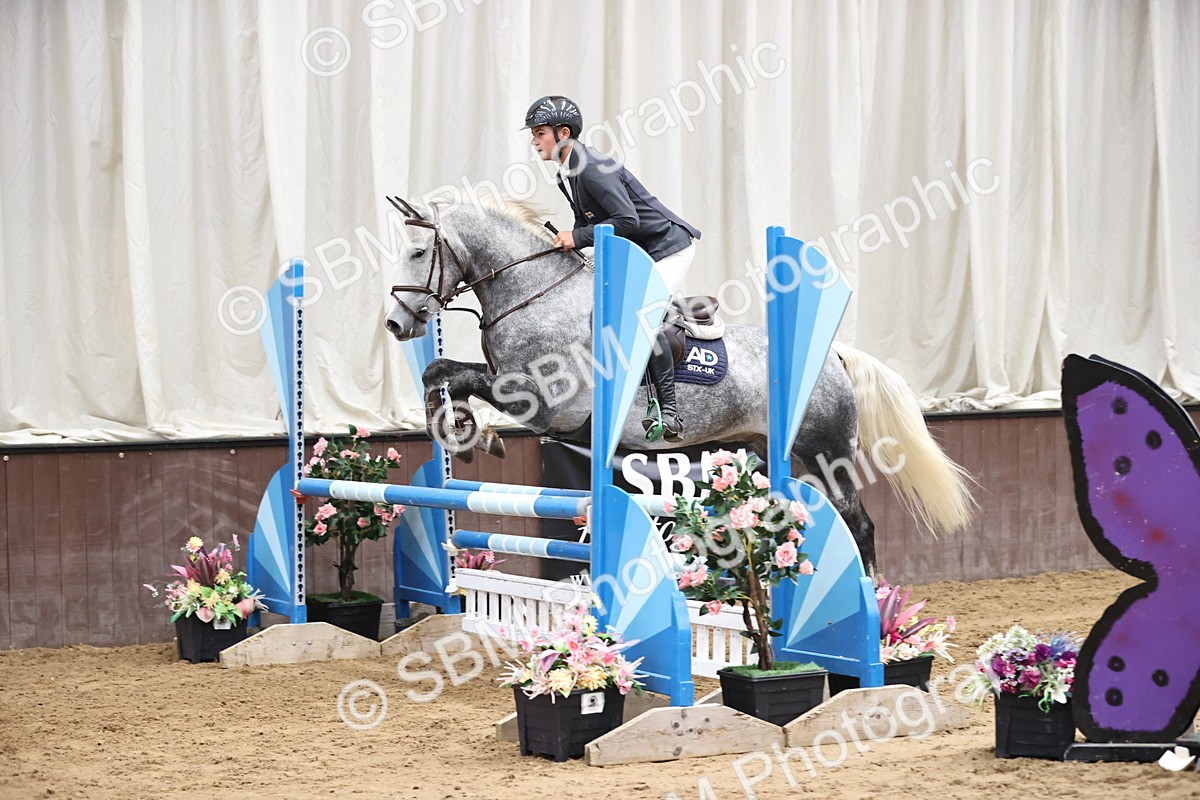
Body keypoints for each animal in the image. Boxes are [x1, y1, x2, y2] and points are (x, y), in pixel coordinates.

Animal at [382, 196, 975, 570]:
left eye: (418, 252)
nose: (396, 324)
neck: (534, 294)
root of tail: (832, 358)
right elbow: (440, 372)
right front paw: (460, 429)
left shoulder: (543, 404)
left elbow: (461, 378)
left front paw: (475, 434)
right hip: (769, 451)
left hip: (824, 455)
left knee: (859, 525)